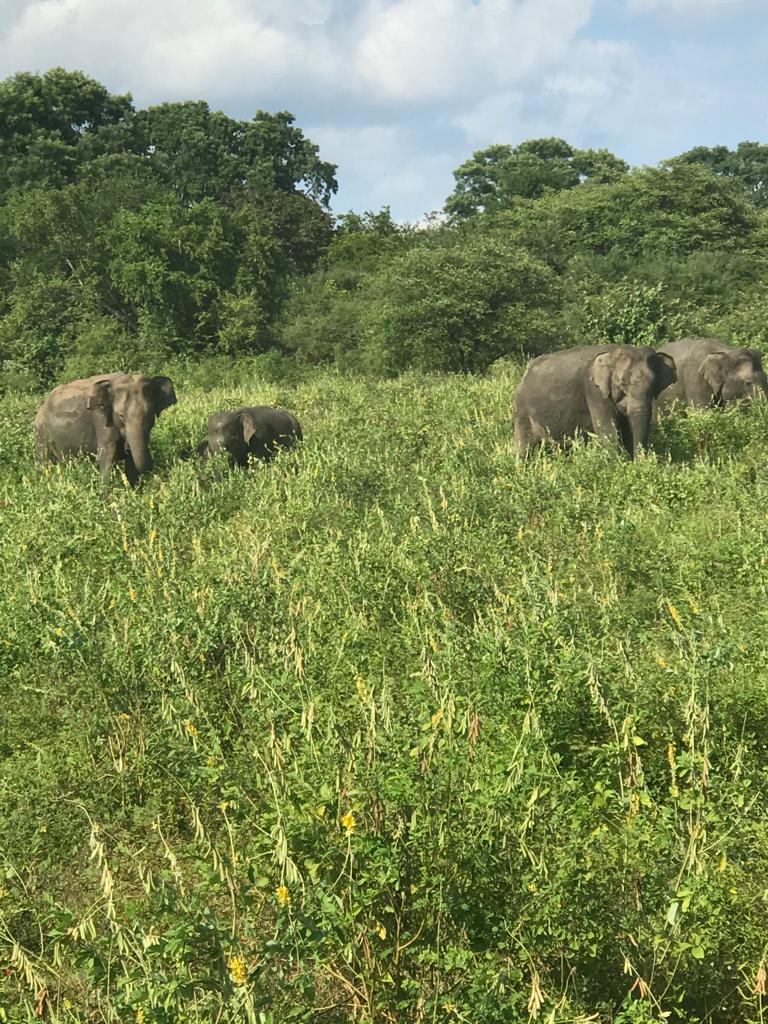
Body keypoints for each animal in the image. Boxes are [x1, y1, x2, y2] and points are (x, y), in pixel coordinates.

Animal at [35, 372, 177, 485]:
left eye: (150, 413)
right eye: (120, 415)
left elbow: (131, 464)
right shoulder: (101, 418)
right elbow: (107, 458)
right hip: (42, 434)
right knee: (46, 464)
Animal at [514, 344, 677, 459]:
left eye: (653, 385)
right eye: (622, 384)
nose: (640, 463)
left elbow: (627, 430)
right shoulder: (594, 390)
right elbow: (608, 430)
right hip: (522, 409)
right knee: (524, 446)